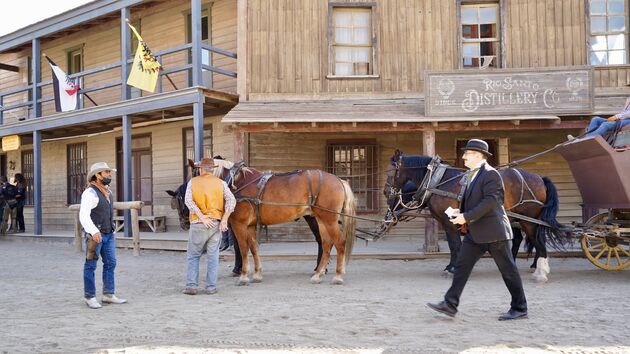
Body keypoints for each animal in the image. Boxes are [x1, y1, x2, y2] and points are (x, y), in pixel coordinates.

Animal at [169, 158, 356, 284]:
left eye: (180, 197)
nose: (184, 222)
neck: (236, 182)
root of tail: (338, 180)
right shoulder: (251, 225)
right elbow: (253, 248)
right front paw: (257, 274)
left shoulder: (239, 225)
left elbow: (243, 249)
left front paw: (244, 275)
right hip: (321, 219)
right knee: (326, 244)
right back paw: (318, 274)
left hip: (328, 220)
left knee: (339, 242)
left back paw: (337, 275)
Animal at [386, 149, 572, 282]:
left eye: (391, 171)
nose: (386, 193)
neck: (439, 182)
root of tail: (539, 178)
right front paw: (454, 266)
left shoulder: (449, 222)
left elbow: (455, 245)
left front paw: (452, 268)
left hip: (529, 221)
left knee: (538, 242)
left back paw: (540, 272)